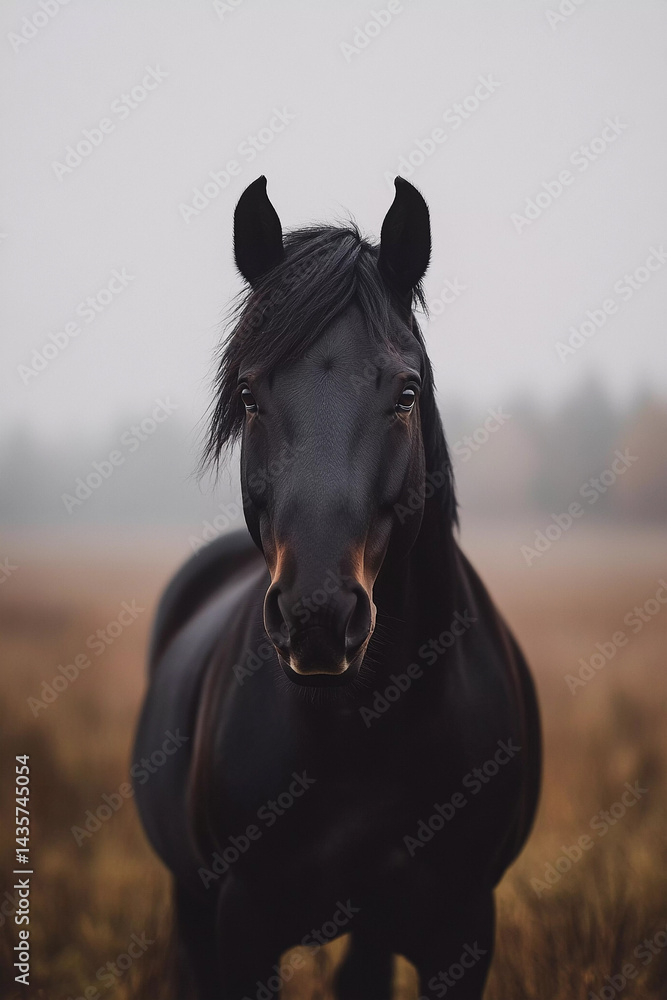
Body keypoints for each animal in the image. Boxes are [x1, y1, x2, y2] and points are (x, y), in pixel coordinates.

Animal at [133, 175, 541, 1000]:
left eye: (406, 392)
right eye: (249, 395)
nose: (318, 619)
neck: (365, 731)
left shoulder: (463, 931)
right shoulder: (241, 925)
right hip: (191, 900)